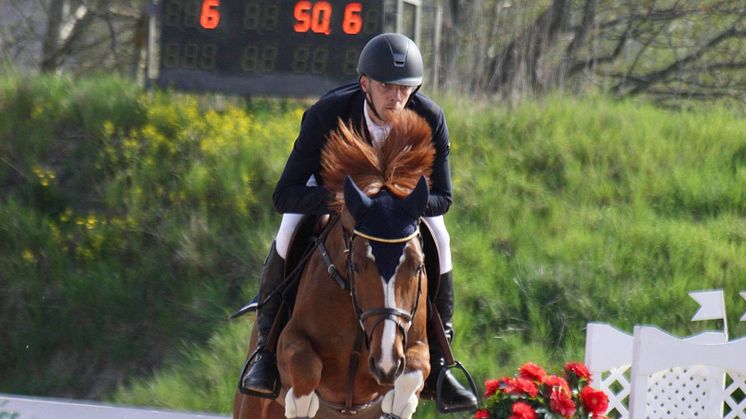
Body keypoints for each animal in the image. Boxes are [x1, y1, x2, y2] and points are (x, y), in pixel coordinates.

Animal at [234, 111, 436, 419]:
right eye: (357, 266)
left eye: (416, 267)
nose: (386, 362)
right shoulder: (292, 341)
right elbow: (305, 371)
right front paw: (300, 406)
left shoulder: (416, 348)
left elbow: (411, 374)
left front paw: (399, 406)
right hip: (252, 403)